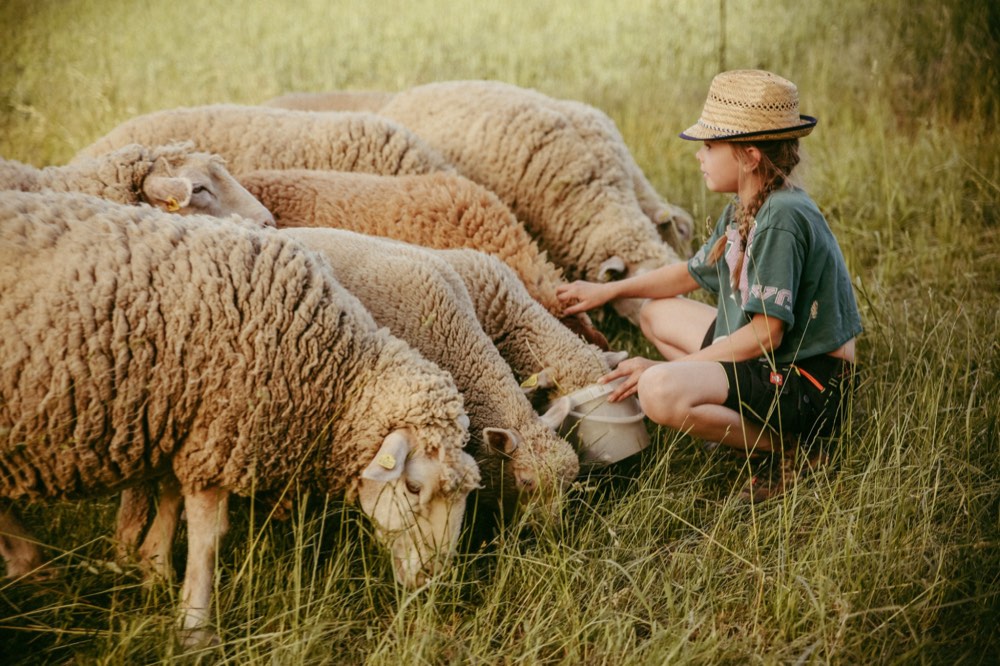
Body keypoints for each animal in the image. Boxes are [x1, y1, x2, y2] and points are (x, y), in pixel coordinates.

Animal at [0, 190, 480, 645]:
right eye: (414, 487)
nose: (432, 582)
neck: (336, 370)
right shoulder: (219, 428)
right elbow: (208, 539)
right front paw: (195, 627)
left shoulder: (188, 420)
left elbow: (171, 501)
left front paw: (155, 570)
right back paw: (34, 565)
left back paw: (32, 566)